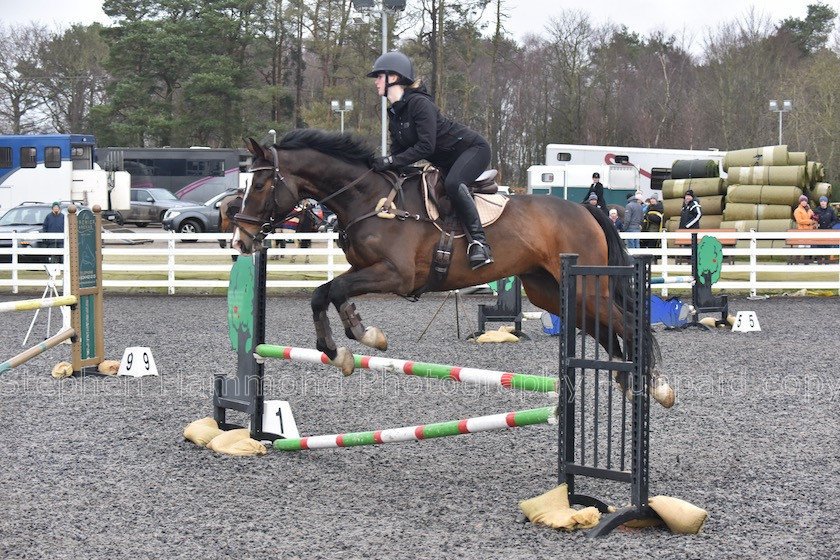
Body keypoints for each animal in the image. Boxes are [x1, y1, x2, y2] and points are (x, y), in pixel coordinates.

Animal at [231, 132, 676, 412]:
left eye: (259, 186)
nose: (241, 240)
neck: (369, 199)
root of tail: (586, 209)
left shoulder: (396, 275)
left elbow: (334, 291)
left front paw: (363, 336)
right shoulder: (365, 269)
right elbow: (324, 293)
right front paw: (340, 349)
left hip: (587, 288)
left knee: (631, 324)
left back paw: (657, 386)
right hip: (551, 292)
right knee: (606, 329)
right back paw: (629, 381)